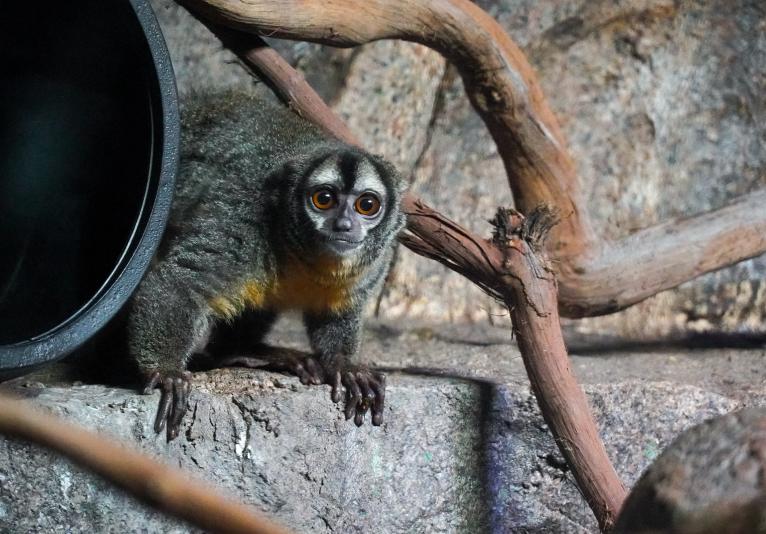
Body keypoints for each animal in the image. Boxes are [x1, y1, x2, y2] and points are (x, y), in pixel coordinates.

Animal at [127, 89, 407, 440]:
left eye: (367, 205)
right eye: (324, 199)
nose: (343, 225)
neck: (304, 253)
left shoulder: (375, 262)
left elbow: (338, 312)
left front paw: (346, 367)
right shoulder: (241, 226)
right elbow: (180, 283)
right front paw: (166, 372)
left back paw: (251, 352)